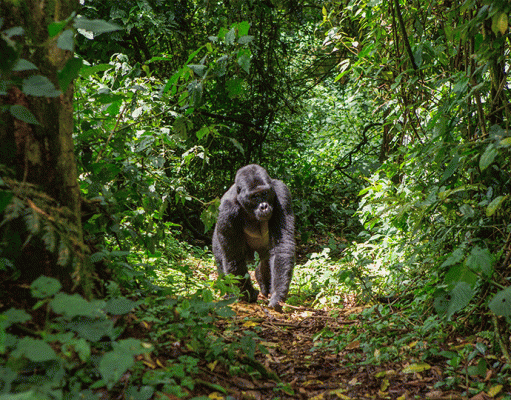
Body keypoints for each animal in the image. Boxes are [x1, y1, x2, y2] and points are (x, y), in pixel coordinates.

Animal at [213, 164, 296, 310]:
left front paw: (277, 295)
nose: (264, 206)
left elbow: (282, 245)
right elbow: (234, 257)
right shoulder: (227, 210)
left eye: (264, 193)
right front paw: (248, 294)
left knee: (266, 261)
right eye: (255, 196)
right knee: (221, 258)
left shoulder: (282, 193)